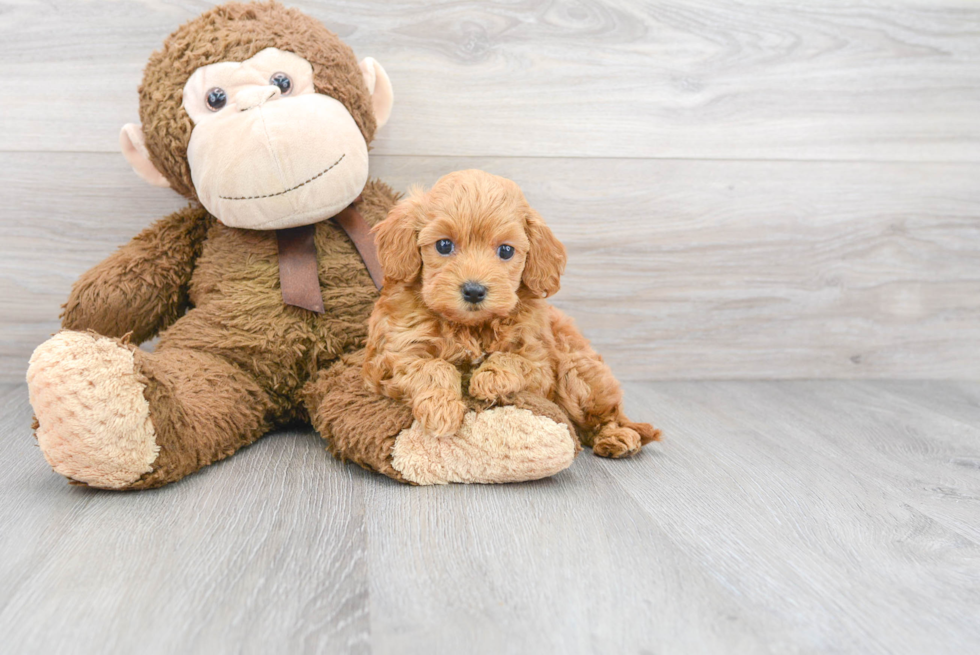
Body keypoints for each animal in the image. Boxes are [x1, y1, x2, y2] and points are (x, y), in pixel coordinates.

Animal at [360, 169, 660, 456]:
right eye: (444, 245)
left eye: (505, 250)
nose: (474, 290)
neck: (471, 327)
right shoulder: (389, 356)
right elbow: (432, 366)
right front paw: (441, 409)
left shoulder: (541, 365)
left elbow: (514, 360)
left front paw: (488, 378)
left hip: (578, 373)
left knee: (606, 416)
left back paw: (616, 437)